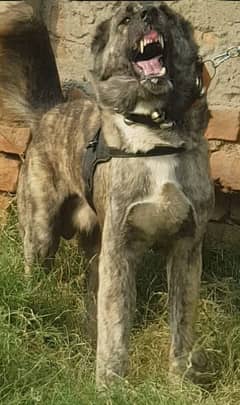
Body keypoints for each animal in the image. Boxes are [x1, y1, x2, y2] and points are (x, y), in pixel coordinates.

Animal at [2, 1, 214, 386]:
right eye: (125, 19)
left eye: (165, 12)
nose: (148, 13)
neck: (155, 130)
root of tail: (49, 113)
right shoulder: (120, 247)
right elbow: (116, 324)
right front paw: (111, 384)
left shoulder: (187, 249)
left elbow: (182, 325)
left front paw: (180, 380)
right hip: (41, 236)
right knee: (37, 278)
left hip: (95, 254)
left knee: (93, 306)